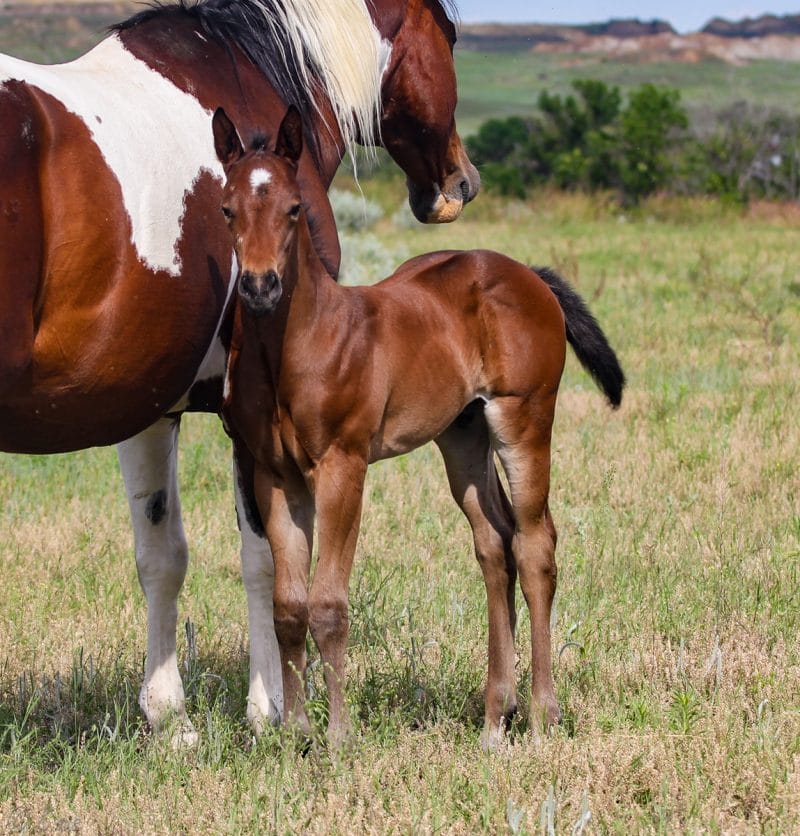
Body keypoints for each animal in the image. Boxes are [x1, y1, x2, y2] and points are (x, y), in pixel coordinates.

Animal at [0, 0, 476, 744]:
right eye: (449, 35)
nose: (459, 184)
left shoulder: (147, 406)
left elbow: (162, 555)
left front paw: (169, 719)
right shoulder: (250, 423)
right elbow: (267, 559)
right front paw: (272, 708)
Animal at [214, 106, 624, 752]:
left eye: (294, 208)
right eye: (228, 208)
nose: (260, 287)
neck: (300, 347)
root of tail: (528, 275)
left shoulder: (344, 466)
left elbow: (328, 604)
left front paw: (338, 738)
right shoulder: (274, 476)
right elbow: (289, 606)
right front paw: (295, 736)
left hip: (524, 416)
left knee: (535, 543)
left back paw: (541, 714)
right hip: (462, 435)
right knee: (495, 544)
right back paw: (494, 719)